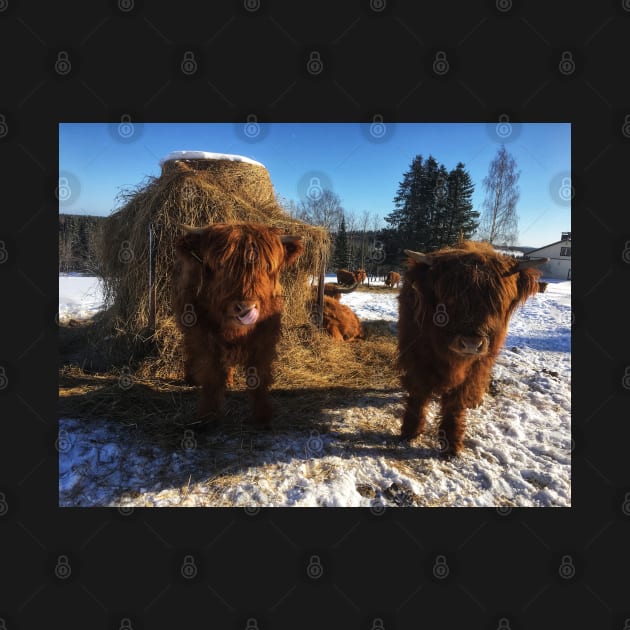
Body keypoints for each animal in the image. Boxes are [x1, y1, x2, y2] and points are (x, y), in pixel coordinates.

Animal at [170, 223, 304, 430]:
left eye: (267, 267)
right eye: (222, 265)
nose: (246, 309)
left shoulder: (265, 338)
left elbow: (259, 376)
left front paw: (263, 416)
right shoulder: (203, 336)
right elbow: (212, 376)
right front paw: (208, 416)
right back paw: (191, 378)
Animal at [398, 243, 552, 460]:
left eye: (497, 303)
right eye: (450, 298)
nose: (471, 343)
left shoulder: (474, 366)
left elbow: (456, 402)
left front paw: (452, 443)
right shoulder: (417, 356)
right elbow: (419, 393)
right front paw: (410, 431)